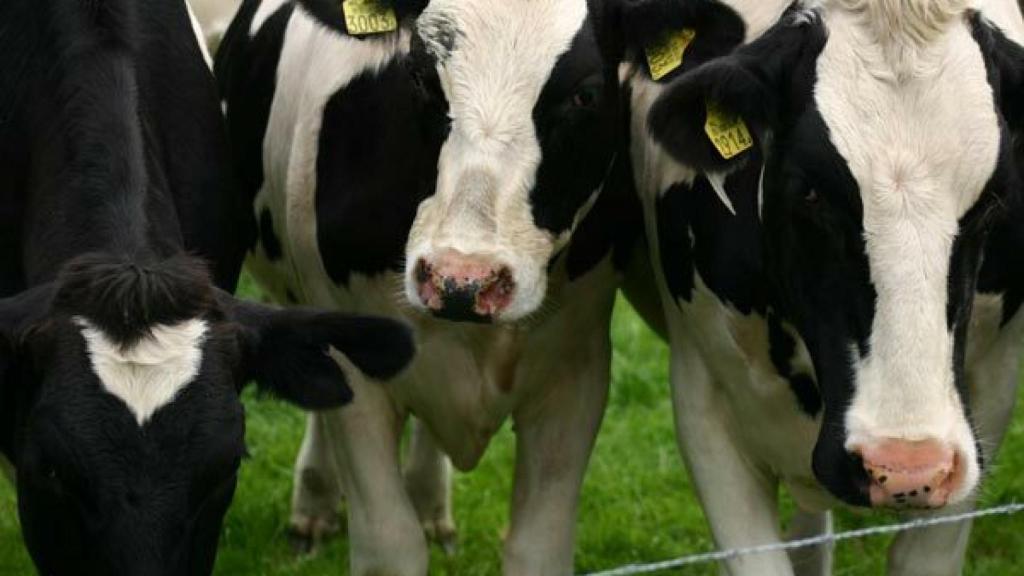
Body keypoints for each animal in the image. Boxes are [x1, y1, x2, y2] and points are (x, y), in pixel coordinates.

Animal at [216, 0, 643, 573]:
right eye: (419, 77)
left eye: (586, 94)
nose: (461, 279)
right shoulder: (354, 363)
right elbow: (390, 545)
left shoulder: (575, 368)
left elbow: (537, 547)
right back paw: (315, 508)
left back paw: (428, 506)